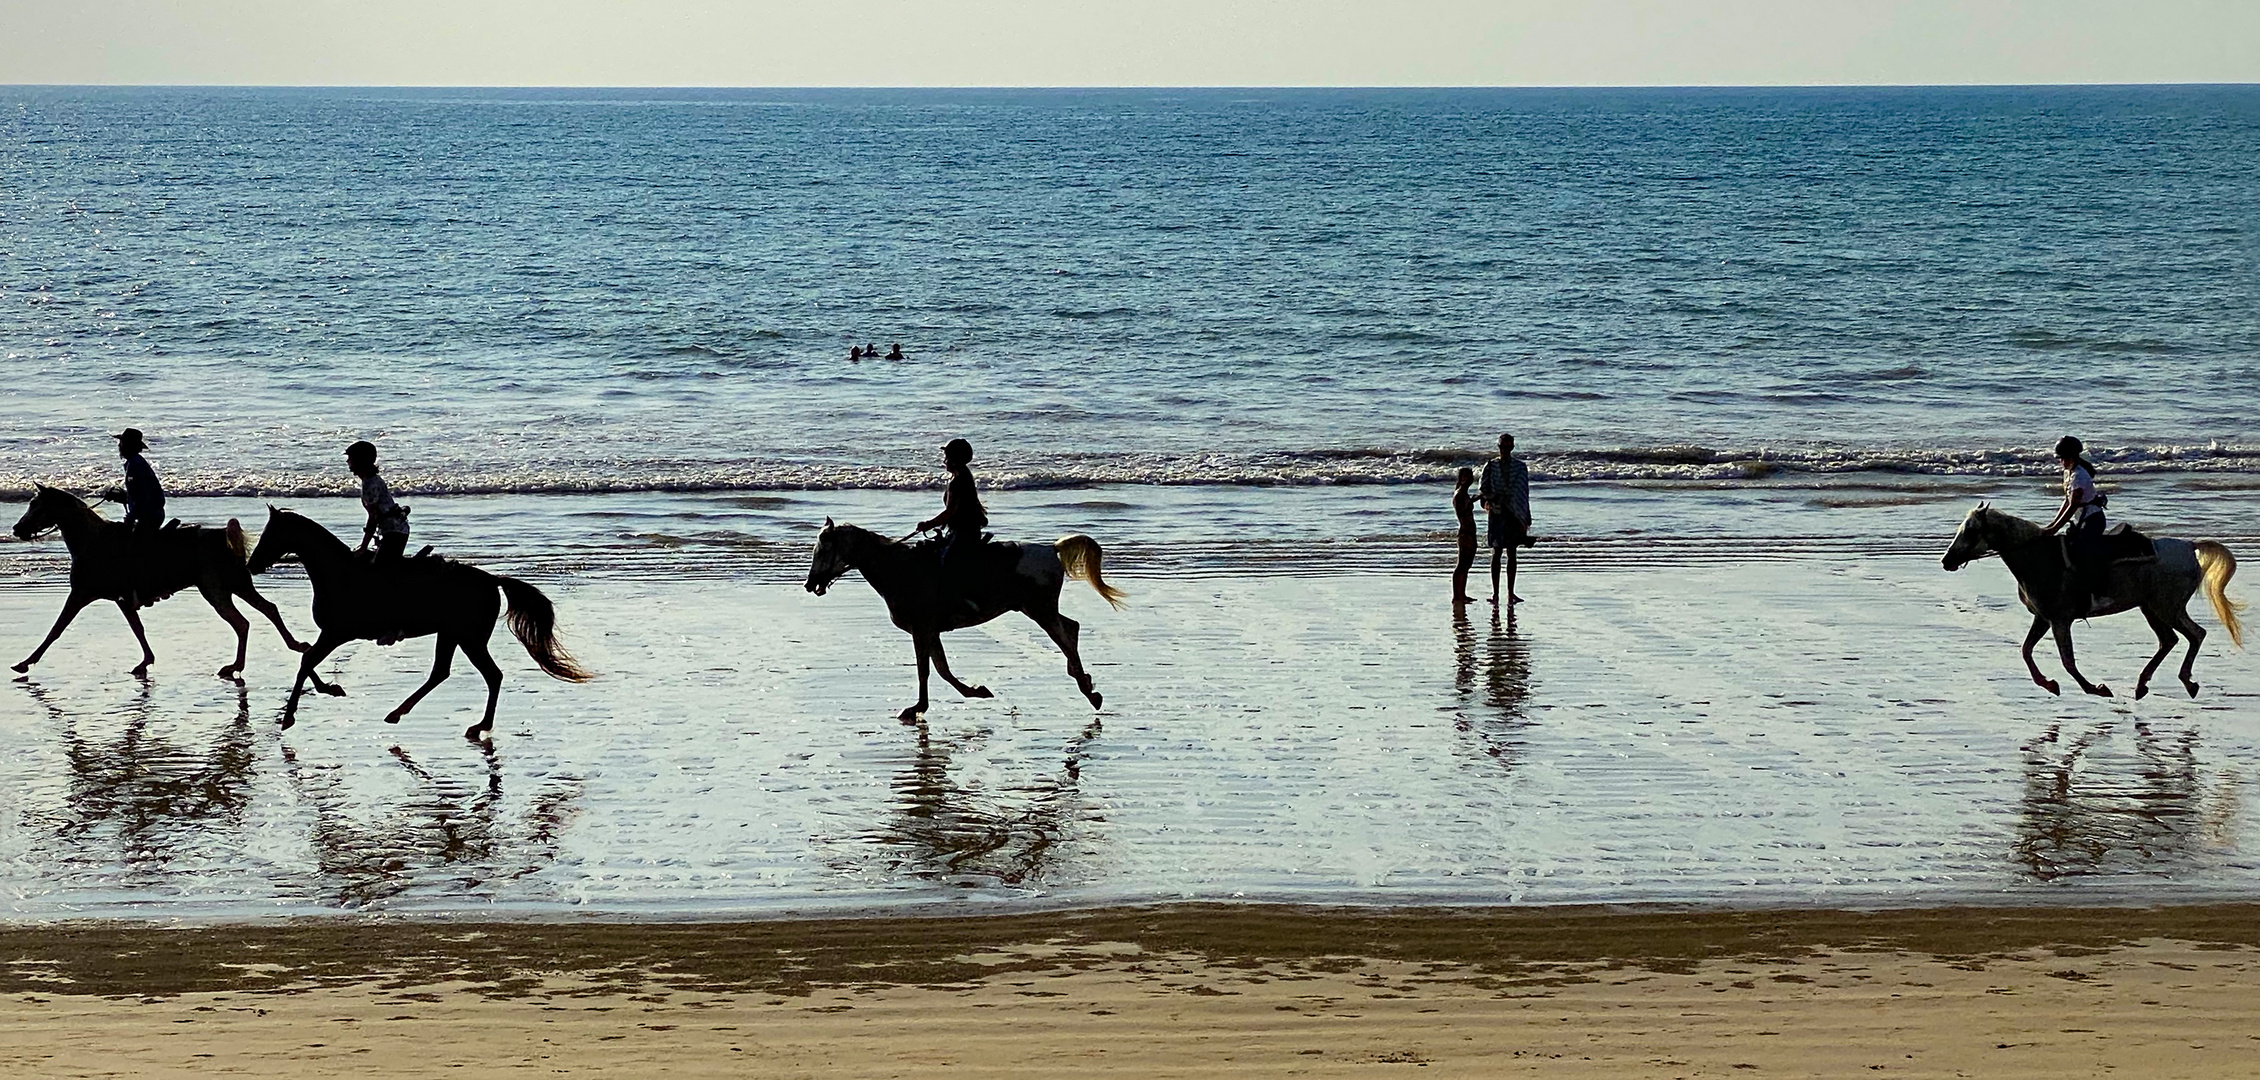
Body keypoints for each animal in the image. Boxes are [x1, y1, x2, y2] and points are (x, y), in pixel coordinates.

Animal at [7, 485, 305, 677]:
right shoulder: (122, 600)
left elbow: (56, 630)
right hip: (237, 586)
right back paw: (292, 646)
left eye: (36, 506)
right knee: (267, 610)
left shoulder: (80, 595)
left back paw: (236, 666)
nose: (17, 529)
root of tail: (223, 535)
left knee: (242, 623)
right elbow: (138, 629)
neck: (92, 541)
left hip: (217, 591)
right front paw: (146, 661)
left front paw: (25, 662)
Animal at [244, 506, 592, 741]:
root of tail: (492, 580)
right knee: (443, 672)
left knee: (491, 675)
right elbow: (307, 657)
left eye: (268, 535)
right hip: (452, 634)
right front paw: (329, 689)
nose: (251, 565)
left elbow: (306, 660)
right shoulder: (331, 634)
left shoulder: (336, 633)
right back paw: (399, 713)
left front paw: (289, 717)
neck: (337, 573)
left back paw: (478, 726)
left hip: (469, 638)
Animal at [809, 521, 1130, 723]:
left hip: (1040, 609)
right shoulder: (929, 631)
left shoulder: (921, 629)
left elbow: (927, 671)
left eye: (823, 551)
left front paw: (917, 708)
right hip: (1035, 609)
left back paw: (1087, 689)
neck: (899, 569)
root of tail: (1053, 548)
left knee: (1064, 635)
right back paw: (1085, 682)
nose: (810, 584)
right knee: (1071, 628)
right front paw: (976, 691)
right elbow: (942, 670)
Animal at [1943, 503, 2241, 700]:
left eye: (1970, 531)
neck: (2039, 557)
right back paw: (2143, 685)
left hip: (2167, 607)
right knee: (2170, 640)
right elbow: (2026, 650)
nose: (1946, 560)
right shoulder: (2044, 618)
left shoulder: (2060, 620)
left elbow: (2067, 661)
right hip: (2151, 608)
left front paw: (2096, 688)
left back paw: (2186, 682)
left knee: (2195, 634)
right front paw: (2048, 684)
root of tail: (2189, 546)